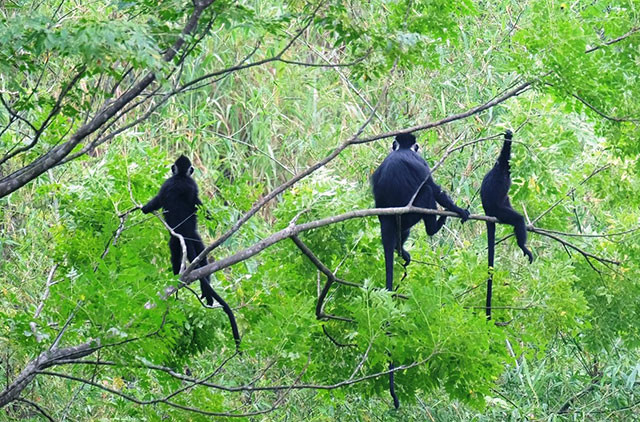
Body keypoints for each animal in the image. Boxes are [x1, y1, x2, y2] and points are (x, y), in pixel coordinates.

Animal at [142, 155, 240, 350]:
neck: (180, 177)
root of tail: (184, 233)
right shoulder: (190, 185)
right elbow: (199, 205)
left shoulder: (166, 184)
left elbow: (157, 200)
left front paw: (144, 208)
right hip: (195, 239)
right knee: (203, 259)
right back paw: (206, 292)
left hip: (175, 241)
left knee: (176, 255)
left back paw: (178, 278)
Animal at [371, 133, 470, 408]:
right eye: (416, 148)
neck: (401, 151)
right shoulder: (420, 164)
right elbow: (434, 188)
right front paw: (459, 210)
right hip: (412, 213)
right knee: (426, 191)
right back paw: (433, 227)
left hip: (400, 222)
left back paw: (399, 249)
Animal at [480, 130, 533, 320]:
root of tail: (487, 211)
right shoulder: (502, 163)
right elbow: (505, 152)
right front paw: (508, 136)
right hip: (499, 211)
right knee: (517, 219)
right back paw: (522, 246)